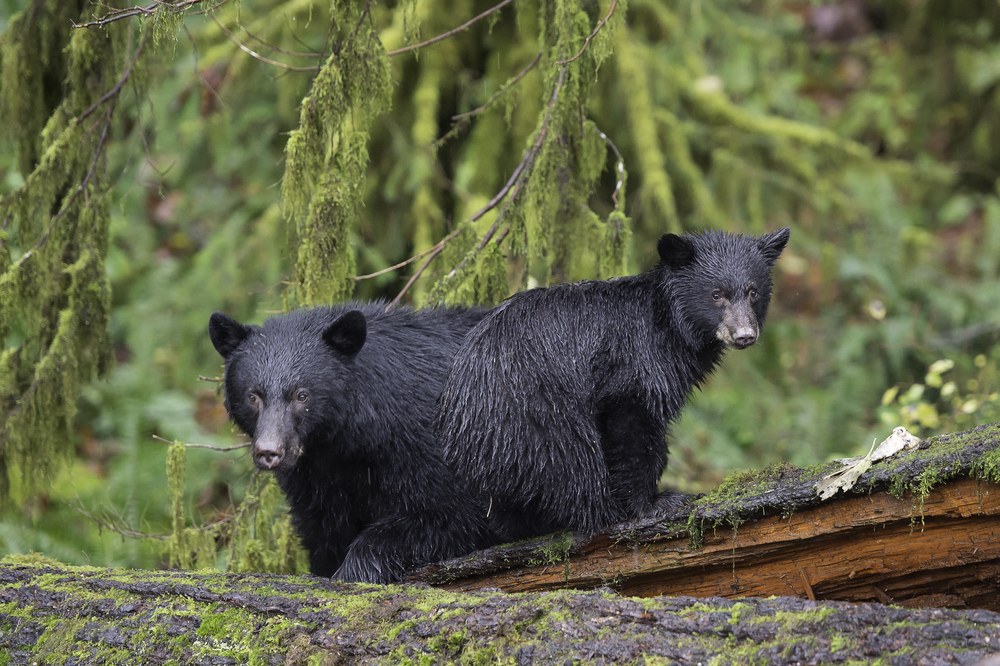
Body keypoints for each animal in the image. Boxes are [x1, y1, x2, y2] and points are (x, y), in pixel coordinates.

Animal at [208, 302, 490, 583]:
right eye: (253, 396)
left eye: (302, 395)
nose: (269, 452)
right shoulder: (317, 481)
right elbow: (325, 534)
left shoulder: (433, 447)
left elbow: (450, 516)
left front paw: (352, 572)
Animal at [436, 228, 790, 542]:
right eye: (716, 294)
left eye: (753, 291)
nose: (744, 335)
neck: (667, 323)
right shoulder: (632, 365)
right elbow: (632, 426)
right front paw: (653, 503)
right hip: (542, 420)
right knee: (574, 468)